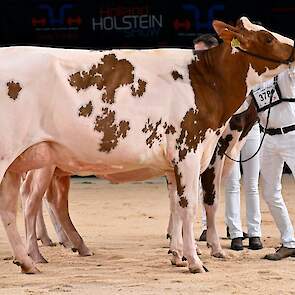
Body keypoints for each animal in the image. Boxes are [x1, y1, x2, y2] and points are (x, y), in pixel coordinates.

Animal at [0, 16, 294, 276]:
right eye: (267, 37)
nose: (294, 49)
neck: (205, 80)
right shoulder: (190, 152)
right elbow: (193, 206)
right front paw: (196, 261)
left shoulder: (178, 162)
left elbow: (177, 207)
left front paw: (178, 255)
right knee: (30, 202)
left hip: (20, 164)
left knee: (14, 208)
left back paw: (29, 261)